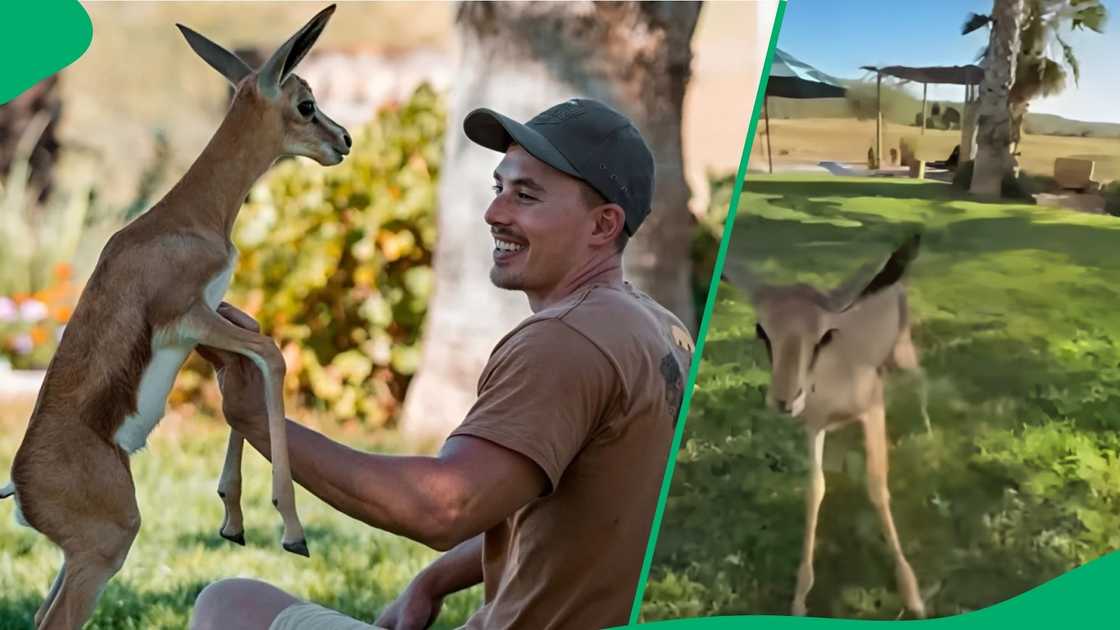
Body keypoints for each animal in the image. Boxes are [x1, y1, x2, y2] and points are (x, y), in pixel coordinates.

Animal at [0, 5, 350, 628]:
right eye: (306, 103)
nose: (345, 141)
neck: (191, 217)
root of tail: (19, 485)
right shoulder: (190, 318)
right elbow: (273, 356)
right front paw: (291, 531)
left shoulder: (215, 322)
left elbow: (250, 369)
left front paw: (233, 520)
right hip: (104, 550)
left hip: (74, 560)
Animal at [726, 233, 930, 619]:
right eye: (762, 330)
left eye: (824, 335)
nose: (784, 399)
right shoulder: (813, 426)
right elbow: (815, 489)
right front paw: (799, 598)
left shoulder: (873, 409)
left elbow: (877, 484)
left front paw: (912, 593)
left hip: (904, 352)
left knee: (920, 378)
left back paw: (927, 432)